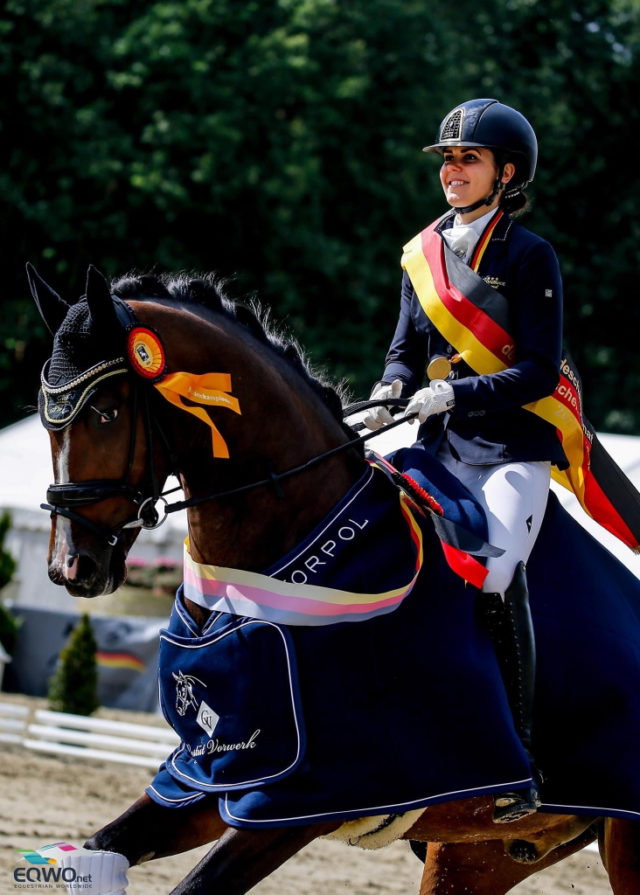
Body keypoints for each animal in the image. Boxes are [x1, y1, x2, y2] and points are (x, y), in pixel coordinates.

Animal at [27, 266, 640, 895]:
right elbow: (100, 851)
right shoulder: (210, 775)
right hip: (476, 854)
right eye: (48, 419)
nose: (71, 567)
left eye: (105, 413)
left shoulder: (307, 797)